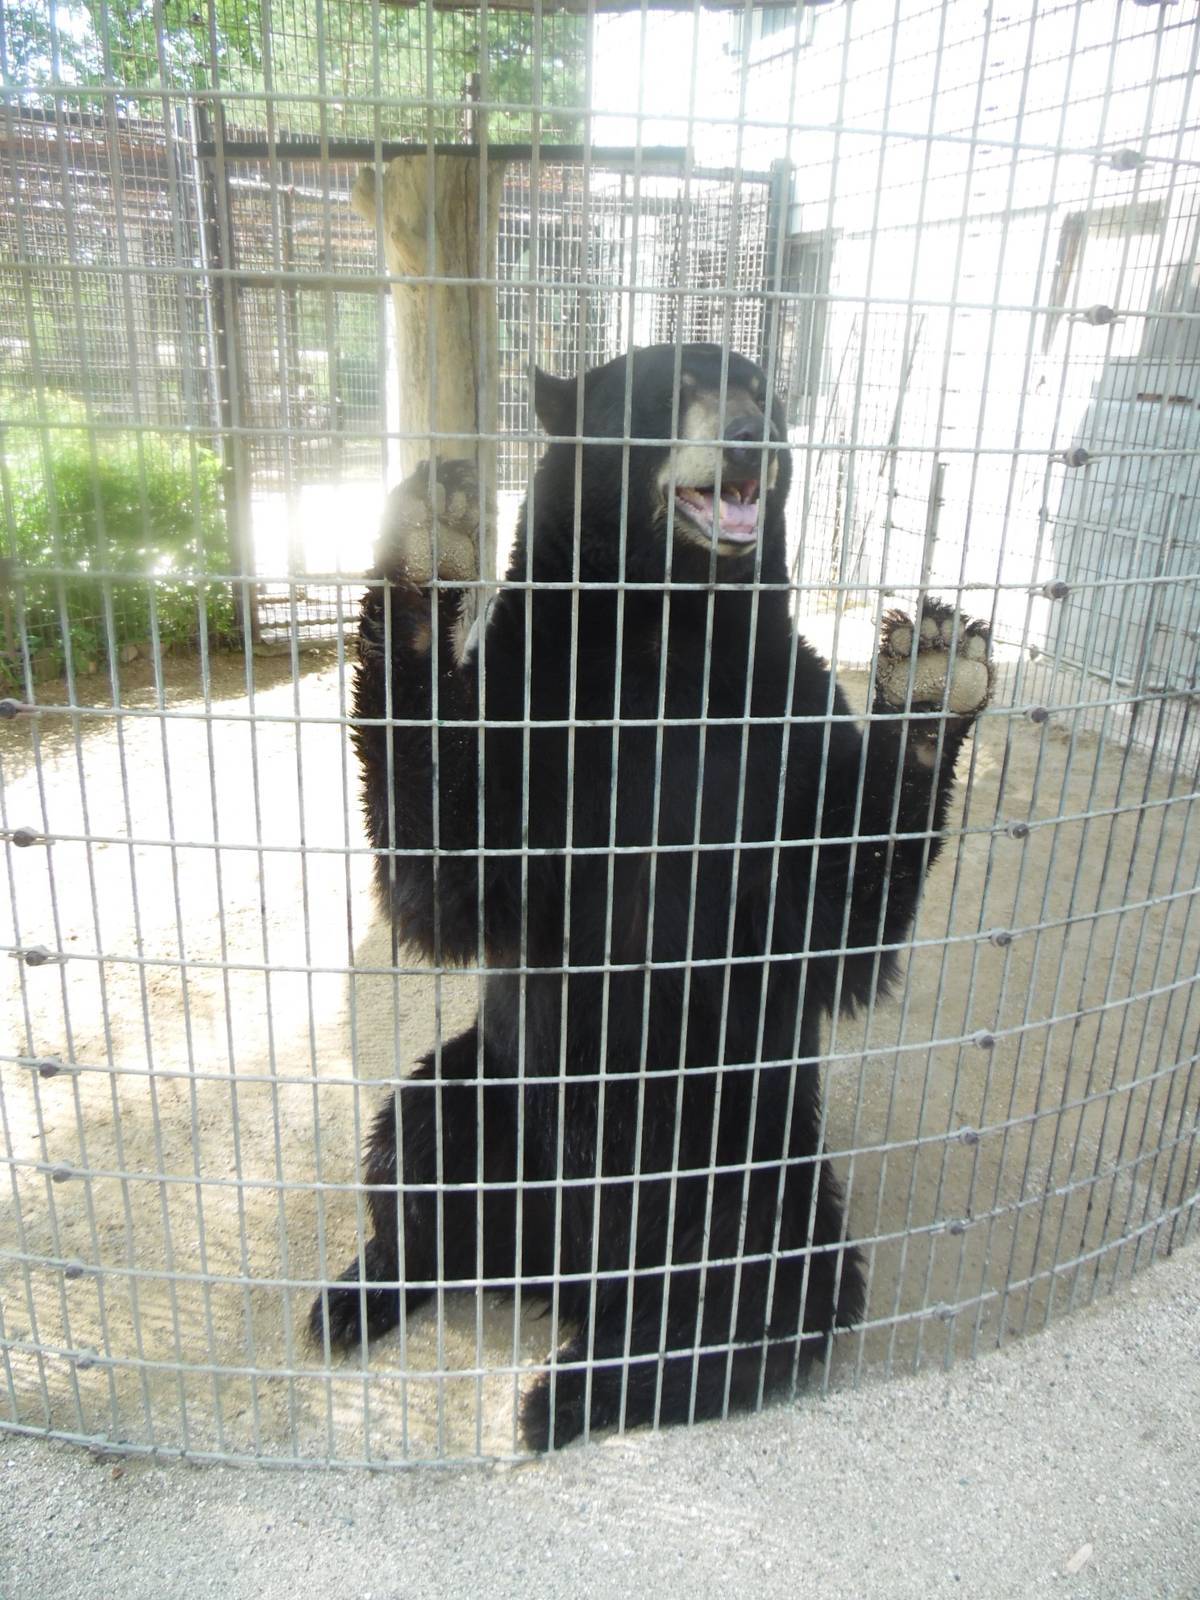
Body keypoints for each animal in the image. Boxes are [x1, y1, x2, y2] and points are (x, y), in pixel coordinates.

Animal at [309, 342, 992, 1450]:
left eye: (763, 392)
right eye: (671, 393)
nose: (754, 437)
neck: (669, 635)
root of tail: (575, 1278)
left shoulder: (780, 723)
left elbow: (833, 920)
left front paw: (932, 671)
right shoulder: (541, 704)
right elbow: (446, 871)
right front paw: (427, 542)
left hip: (755, 1159)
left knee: (773, 1283)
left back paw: (574, 1389)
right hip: (490, 1091)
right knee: (414, 1150)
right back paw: (362, 1296)